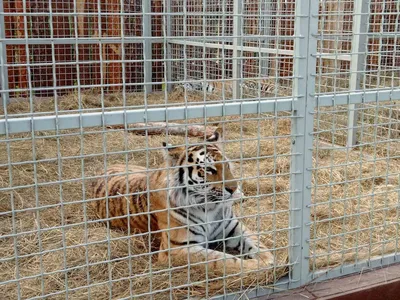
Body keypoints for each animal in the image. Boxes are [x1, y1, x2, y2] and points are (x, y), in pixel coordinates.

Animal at [90, 127, 276, 274]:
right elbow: (221, 260)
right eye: (209, 170)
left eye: (227, 165)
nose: (232, 188)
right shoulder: (177, 248)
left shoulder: (234, 228)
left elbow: (256, 241)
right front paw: (257, 265)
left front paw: (267, 258)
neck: (209, 207)